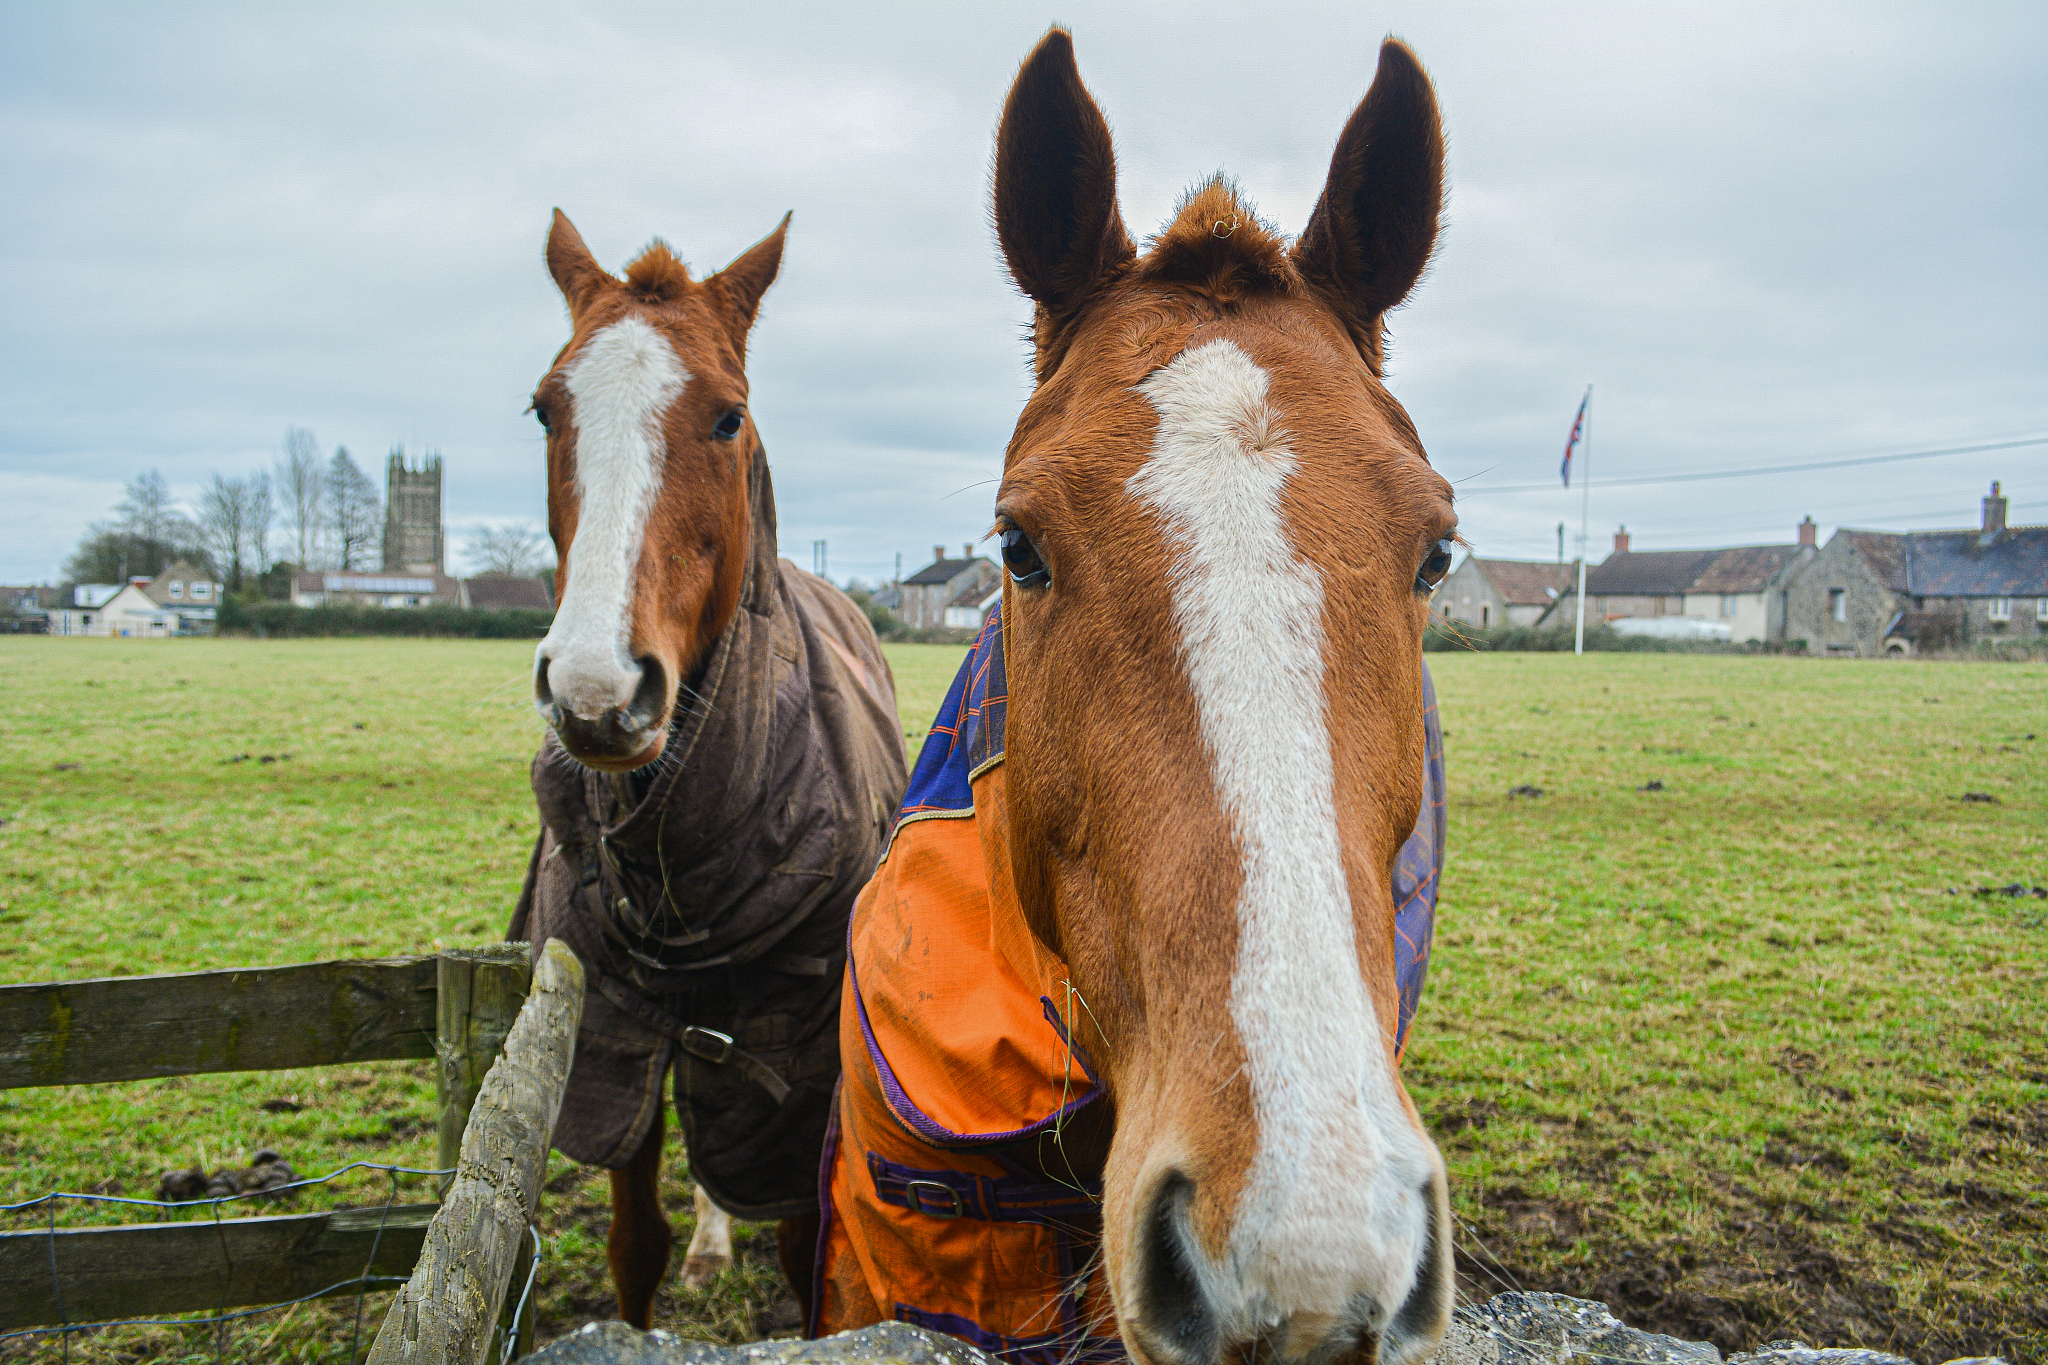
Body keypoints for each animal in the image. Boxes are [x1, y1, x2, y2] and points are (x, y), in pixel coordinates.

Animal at [507, 211, 908, 1329]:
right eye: (545, 407)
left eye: (729, 418)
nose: (596, 685)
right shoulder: (611, 1042)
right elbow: (632, 1241)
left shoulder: (795, 1074)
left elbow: (806, 1249)